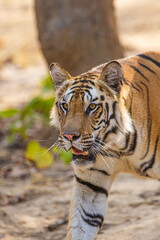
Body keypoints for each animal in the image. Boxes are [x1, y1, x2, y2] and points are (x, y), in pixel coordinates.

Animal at [49, 51, 160, 240]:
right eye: (65, 106)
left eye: (92, 107)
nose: (69, 136)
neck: (120, 147)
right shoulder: (90, 185)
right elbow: (80, 226)